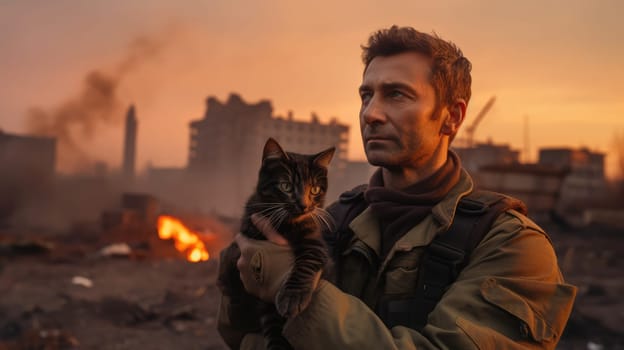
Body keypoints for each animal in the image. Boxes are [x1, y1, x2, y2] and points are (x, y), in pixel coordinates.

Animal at [240, 138, 336, 348]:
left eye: (315, 190)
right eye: (286, 186)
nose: (303, 205)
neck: (285, 224)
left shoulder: (315, 244)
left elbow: (306, 263)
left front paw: (292, 296)